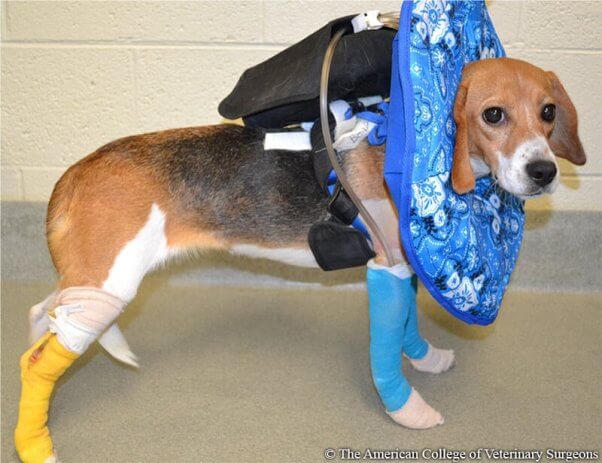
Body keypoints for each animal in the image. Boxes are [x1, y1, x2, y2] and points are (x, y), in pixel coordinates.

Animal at [16, 58, 584, 463]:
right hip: (108, 286)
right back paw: (36, 444)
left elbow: (406, 328)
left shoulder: (404, 265)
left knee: (39, 316)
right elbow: (388, 346)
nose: (543, 172)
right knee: (40, 359)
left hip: (89, 280)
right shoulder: (386, 267)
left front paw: (425, 360)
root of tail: (77, 170)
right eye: (493, 115)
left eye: (548, 111)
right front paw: (410, 412)